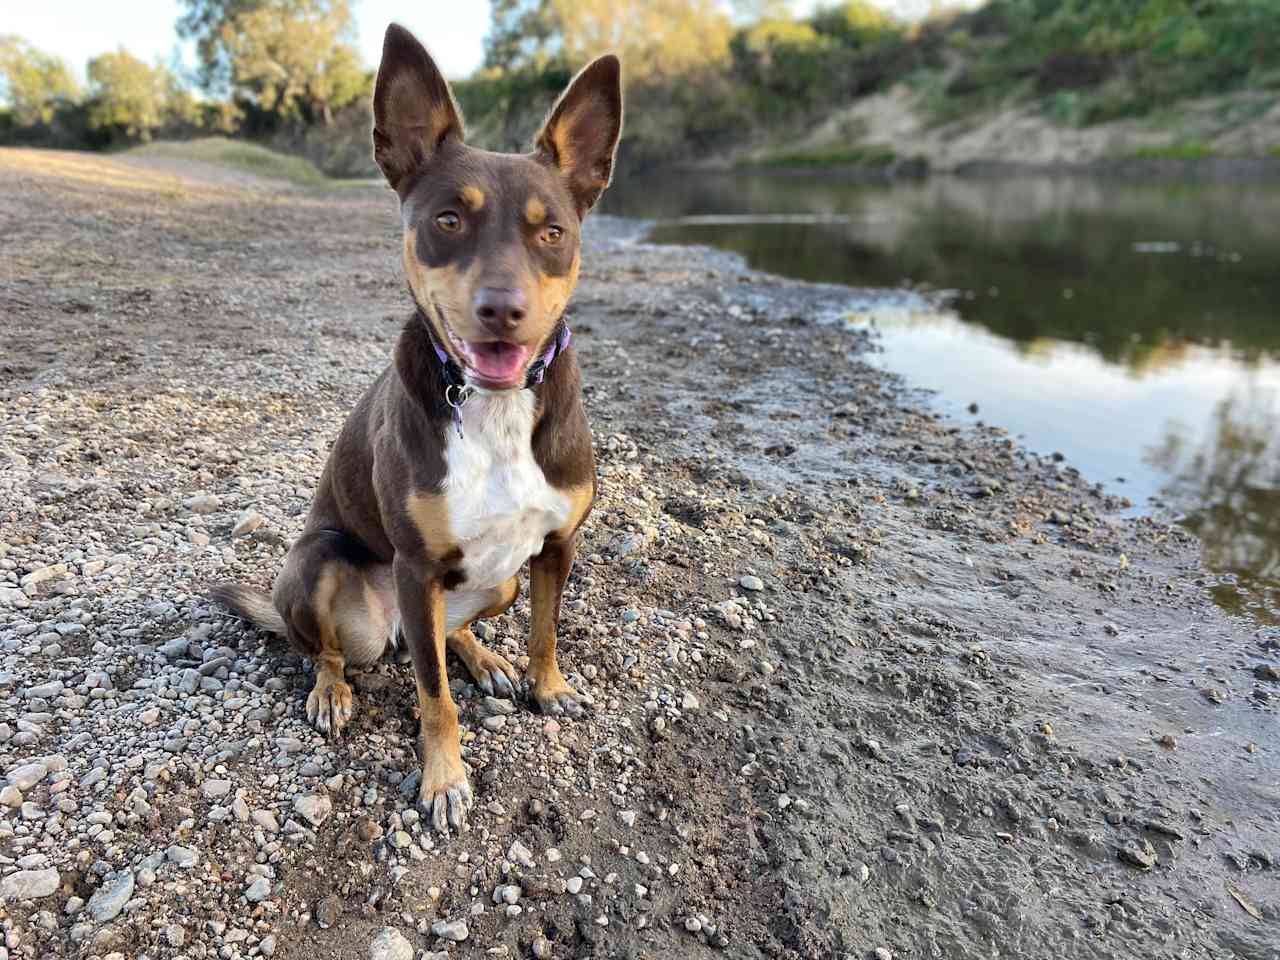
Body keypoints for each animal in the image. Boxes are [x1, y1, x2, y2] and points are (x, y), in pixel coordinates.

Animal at [212, 22, 622, 834]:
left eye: (552, 232)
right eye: (448, 220)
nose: (502, 309)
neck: (493, 405)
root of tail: (395, 630)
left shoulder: (557, 545)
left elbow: (547, 629)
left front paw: (546, 684)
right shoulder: (414, 567)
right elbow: (434, 697)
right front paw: (443, 780)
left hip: (498, 578)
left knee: (451, 630)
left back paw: (484, 657)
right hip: (322, 564)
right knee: (337, 649)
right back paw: (332, 690)